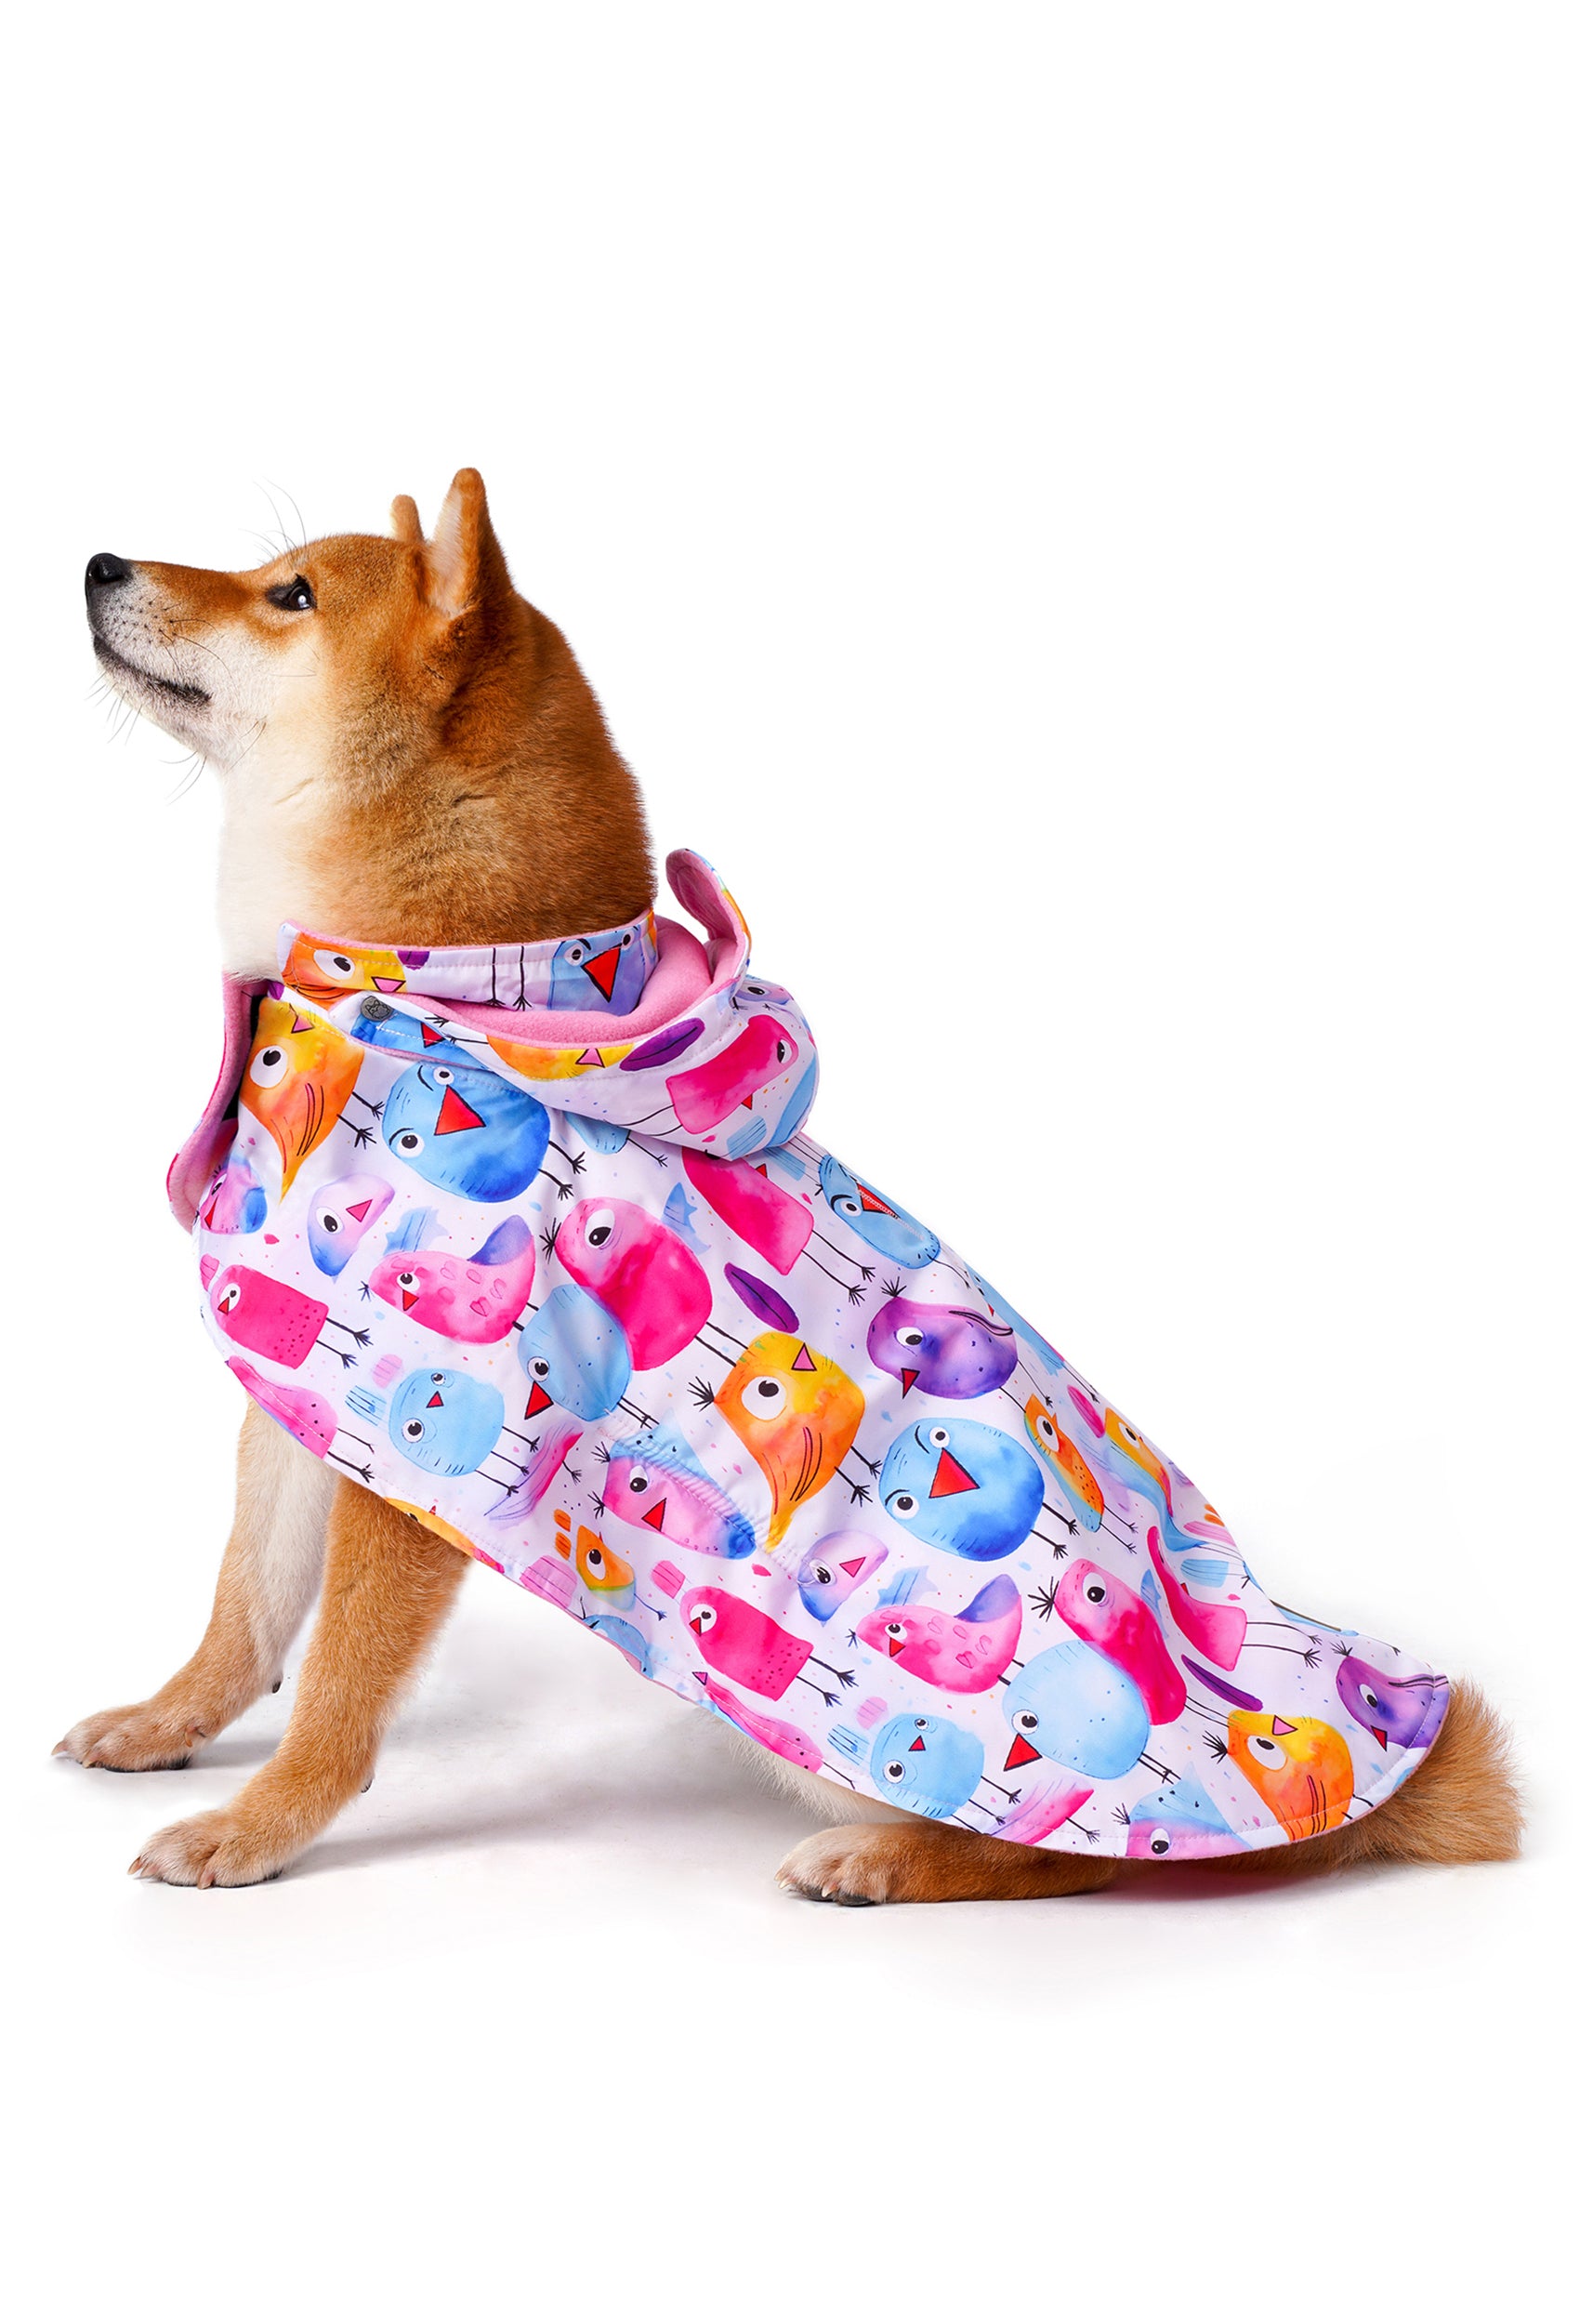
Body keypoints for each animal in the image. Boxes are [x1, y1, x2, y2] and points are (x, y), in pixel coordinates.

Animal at [60, 470, 1521, 1901]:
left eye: (290, 596)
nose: (97, 562)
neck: (446, 1000)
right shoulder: (298, 1380)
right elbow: (248, 1606)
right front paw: (168, 1723)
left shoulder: (410, 1443)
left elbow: (339, 1684)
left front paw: (262, 1824)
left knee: (1066, 1861)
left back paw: (883, 1855)